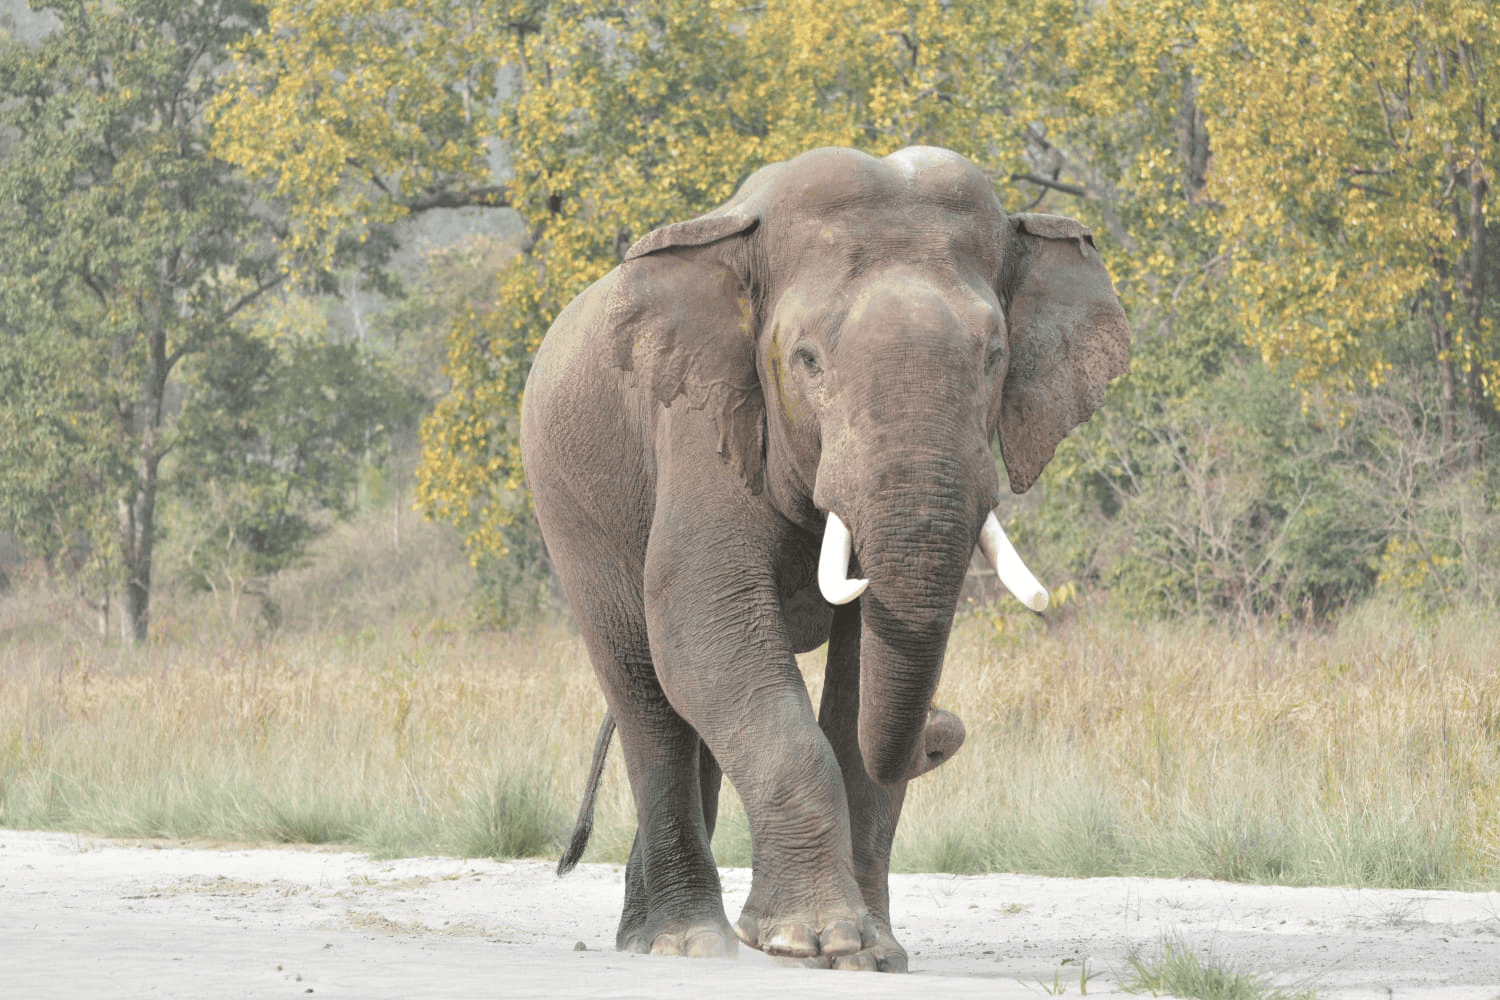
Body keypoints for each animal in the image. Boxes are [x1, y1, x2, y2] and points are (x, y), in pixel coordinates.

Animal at [520, 145, 1130, 971]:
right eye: (806, 360)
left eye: (995, 357)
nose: (945, 728)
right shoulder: (704, 420)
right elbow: (706, 626)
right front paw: (810, 939)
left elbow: (860, 677)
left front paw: (873, 954)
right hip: (569, 504)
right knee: (648, 692)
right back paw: (685, 942)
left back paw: (662, 935)